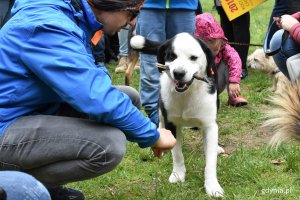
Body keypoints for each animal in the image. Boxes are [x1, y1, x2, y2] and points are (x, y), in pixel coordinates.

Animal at [132, 32, 225, 197]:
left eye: (193, 57)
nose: (178, 73)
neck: (187, 94)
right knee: (160, 121)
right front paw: (178, 174)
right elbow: (177, 153)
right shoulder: (172, 123)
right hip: (161, 106)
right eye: (171, 56)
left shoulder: (209, 125)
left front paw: (212, 185)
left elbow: (210, 160)